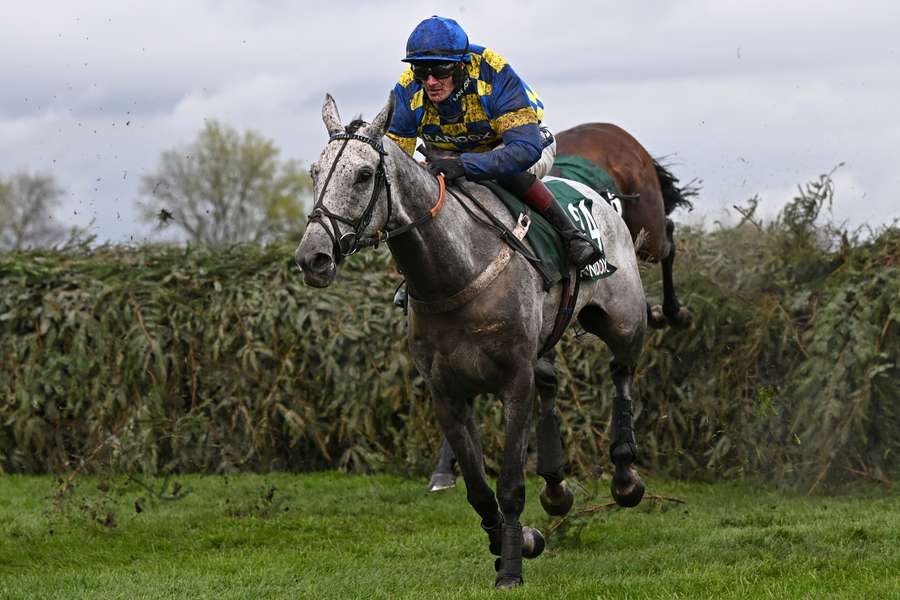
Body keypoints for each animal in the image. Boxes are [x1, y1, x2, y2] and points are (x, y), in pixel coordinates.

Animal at [296, 95, 648, 592]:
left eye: (364, 175)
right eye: (314, 172)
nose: (312, 257)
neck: (454, 272)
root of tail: (602, 195)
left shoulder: (513, 384)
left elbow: (510, 485)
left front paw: (512, 568)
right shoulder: (447, 394)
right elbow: (479, 490)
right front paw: (517, 541)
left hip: (623, 318)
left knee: (622, 371)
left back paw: (625, 475)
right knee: (551, 382)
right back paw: (556, 488)